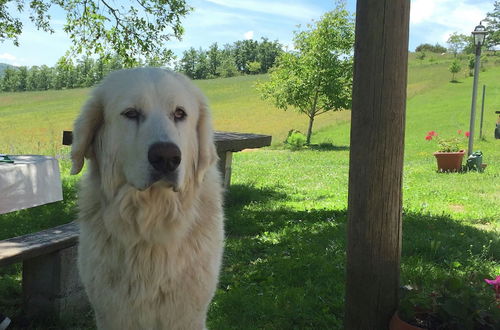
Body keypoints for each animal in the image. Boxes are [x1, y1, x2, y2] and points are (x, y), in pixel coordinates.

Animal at [71, 67, 225, 330]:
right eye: (131, 113)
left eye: (180, 113)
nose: (167, 157)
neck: (152, 220)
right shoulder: (113, 313)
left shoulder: (186, 314)